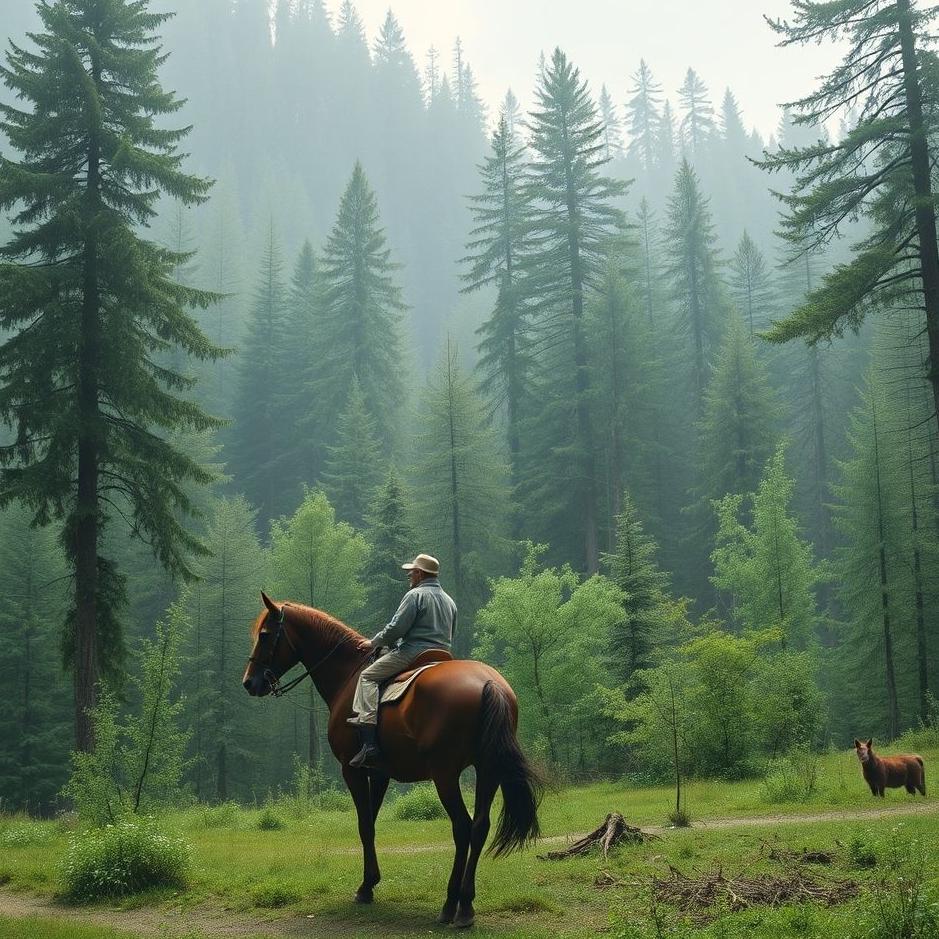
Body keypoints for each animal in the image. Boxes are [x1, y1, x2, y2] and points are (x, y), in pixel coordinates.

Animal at [242, 592, 542, 928]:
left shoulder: (352, 770)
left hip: (445, 775)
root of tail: (489, 683)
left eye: (265, 635)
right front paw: (370, 882)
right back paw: (466, 905)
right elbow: (371, 822)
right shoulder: (379, 773)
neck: (349, 673)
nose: (249, 682)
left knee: (463, 828)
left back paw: (450, 904)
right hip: (488, 771)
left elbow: (364, 825)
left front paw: (365, 887)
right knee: (478, 828)